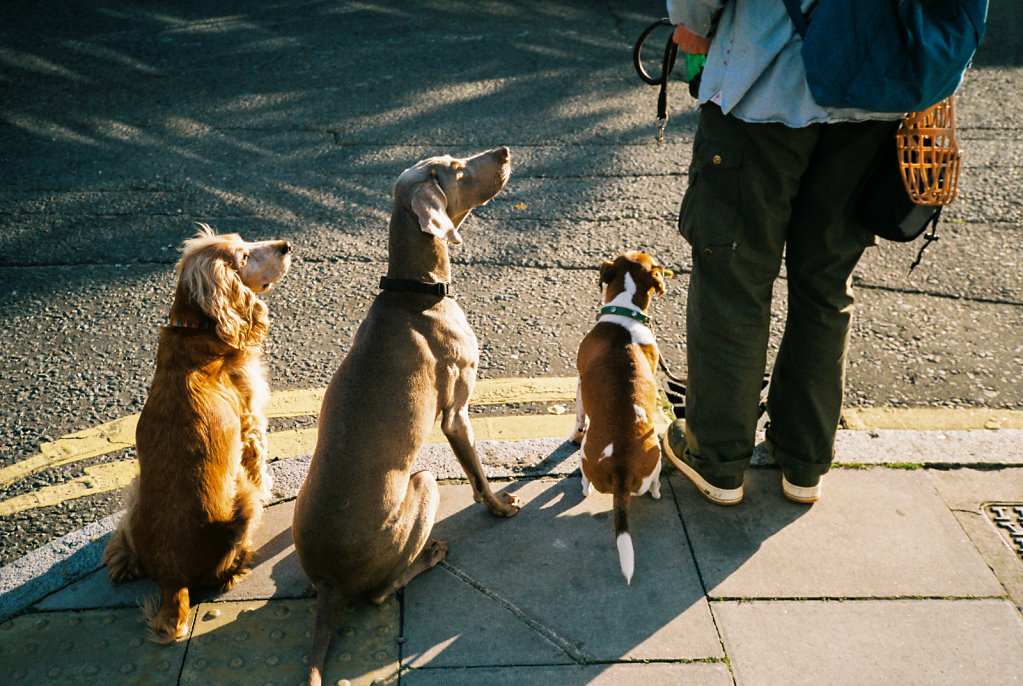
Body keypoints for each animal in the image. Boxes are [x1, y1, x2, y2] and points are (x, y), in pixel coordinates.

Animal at [103, 226, 290, 646]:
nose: (287, 245)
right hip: (239, 495)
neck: (196, 329)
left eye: (244, 241)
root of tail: (173, 581)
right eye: (243, 257)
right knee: (226, 566)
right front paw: (272, 490)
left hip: (135, 487)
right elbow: (260, 467)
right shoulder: (251, 425)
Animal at [568, 252, 671, 584]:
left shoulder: (578, 384)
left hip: (587, 455)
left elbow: (578, 418)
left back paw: (583, 484)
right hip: (655, 455)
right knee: (653, 485)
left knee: (586, 481)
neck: (626, 311)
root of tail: (621, 469)